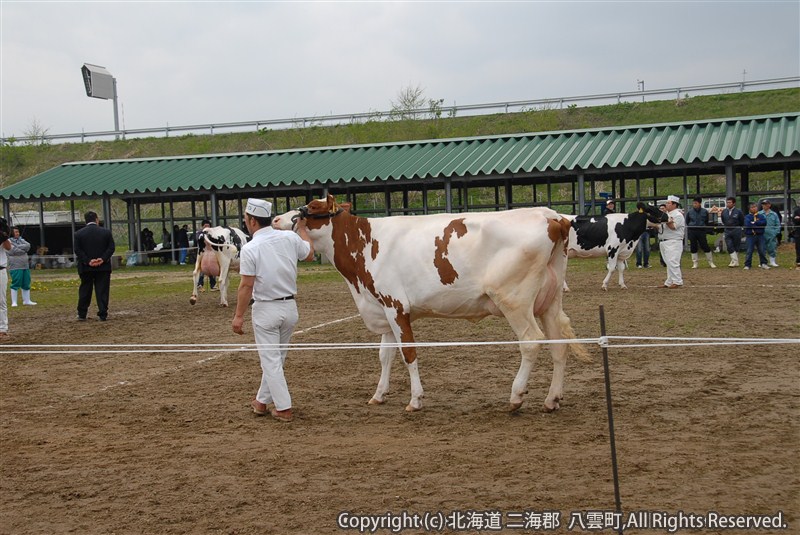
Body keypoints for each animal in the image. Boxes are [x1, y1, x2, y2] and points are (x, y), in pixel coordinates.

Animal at [276, 195, 588, 412]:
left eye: (310, 208)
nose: (278, 219)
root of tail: (550, 215)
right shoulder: (384, 308)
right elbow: (385, 355)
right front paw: (378, 395)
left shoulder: (396, 306)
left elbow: (408, 353)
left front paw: (415, 400)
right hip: (549, 301)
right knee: (559, 346)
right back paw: (551, 399)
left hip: (514, 299)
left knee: (531, 341)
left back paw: (515, 396)